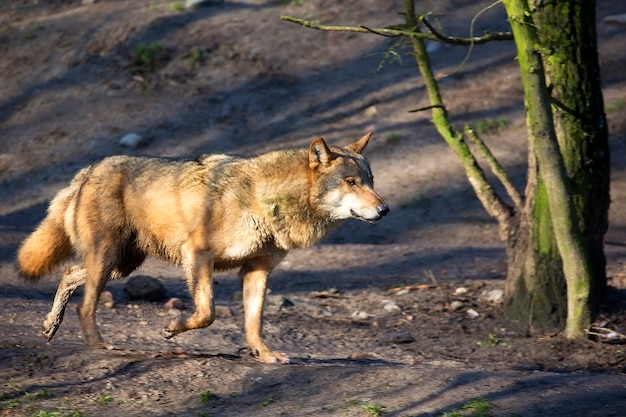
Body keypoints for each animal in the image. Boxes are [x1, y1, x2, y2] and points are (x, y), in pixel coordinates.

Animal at [18, 132, 386, 362]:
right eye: (351, 182)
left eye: (370, 182)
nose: (385, 210)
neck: (266, 199)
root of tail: (88, 169)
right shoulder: (197, 255)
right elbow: (207, 313)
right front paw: (172, 328)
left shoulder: (257, 270)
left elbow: (254, 322)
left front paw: (265, 354)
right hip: (108, 260)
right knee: (85, 305)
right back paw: (98, 345)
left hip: (121, 266)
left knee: (68, 272)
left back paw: (51, 326)